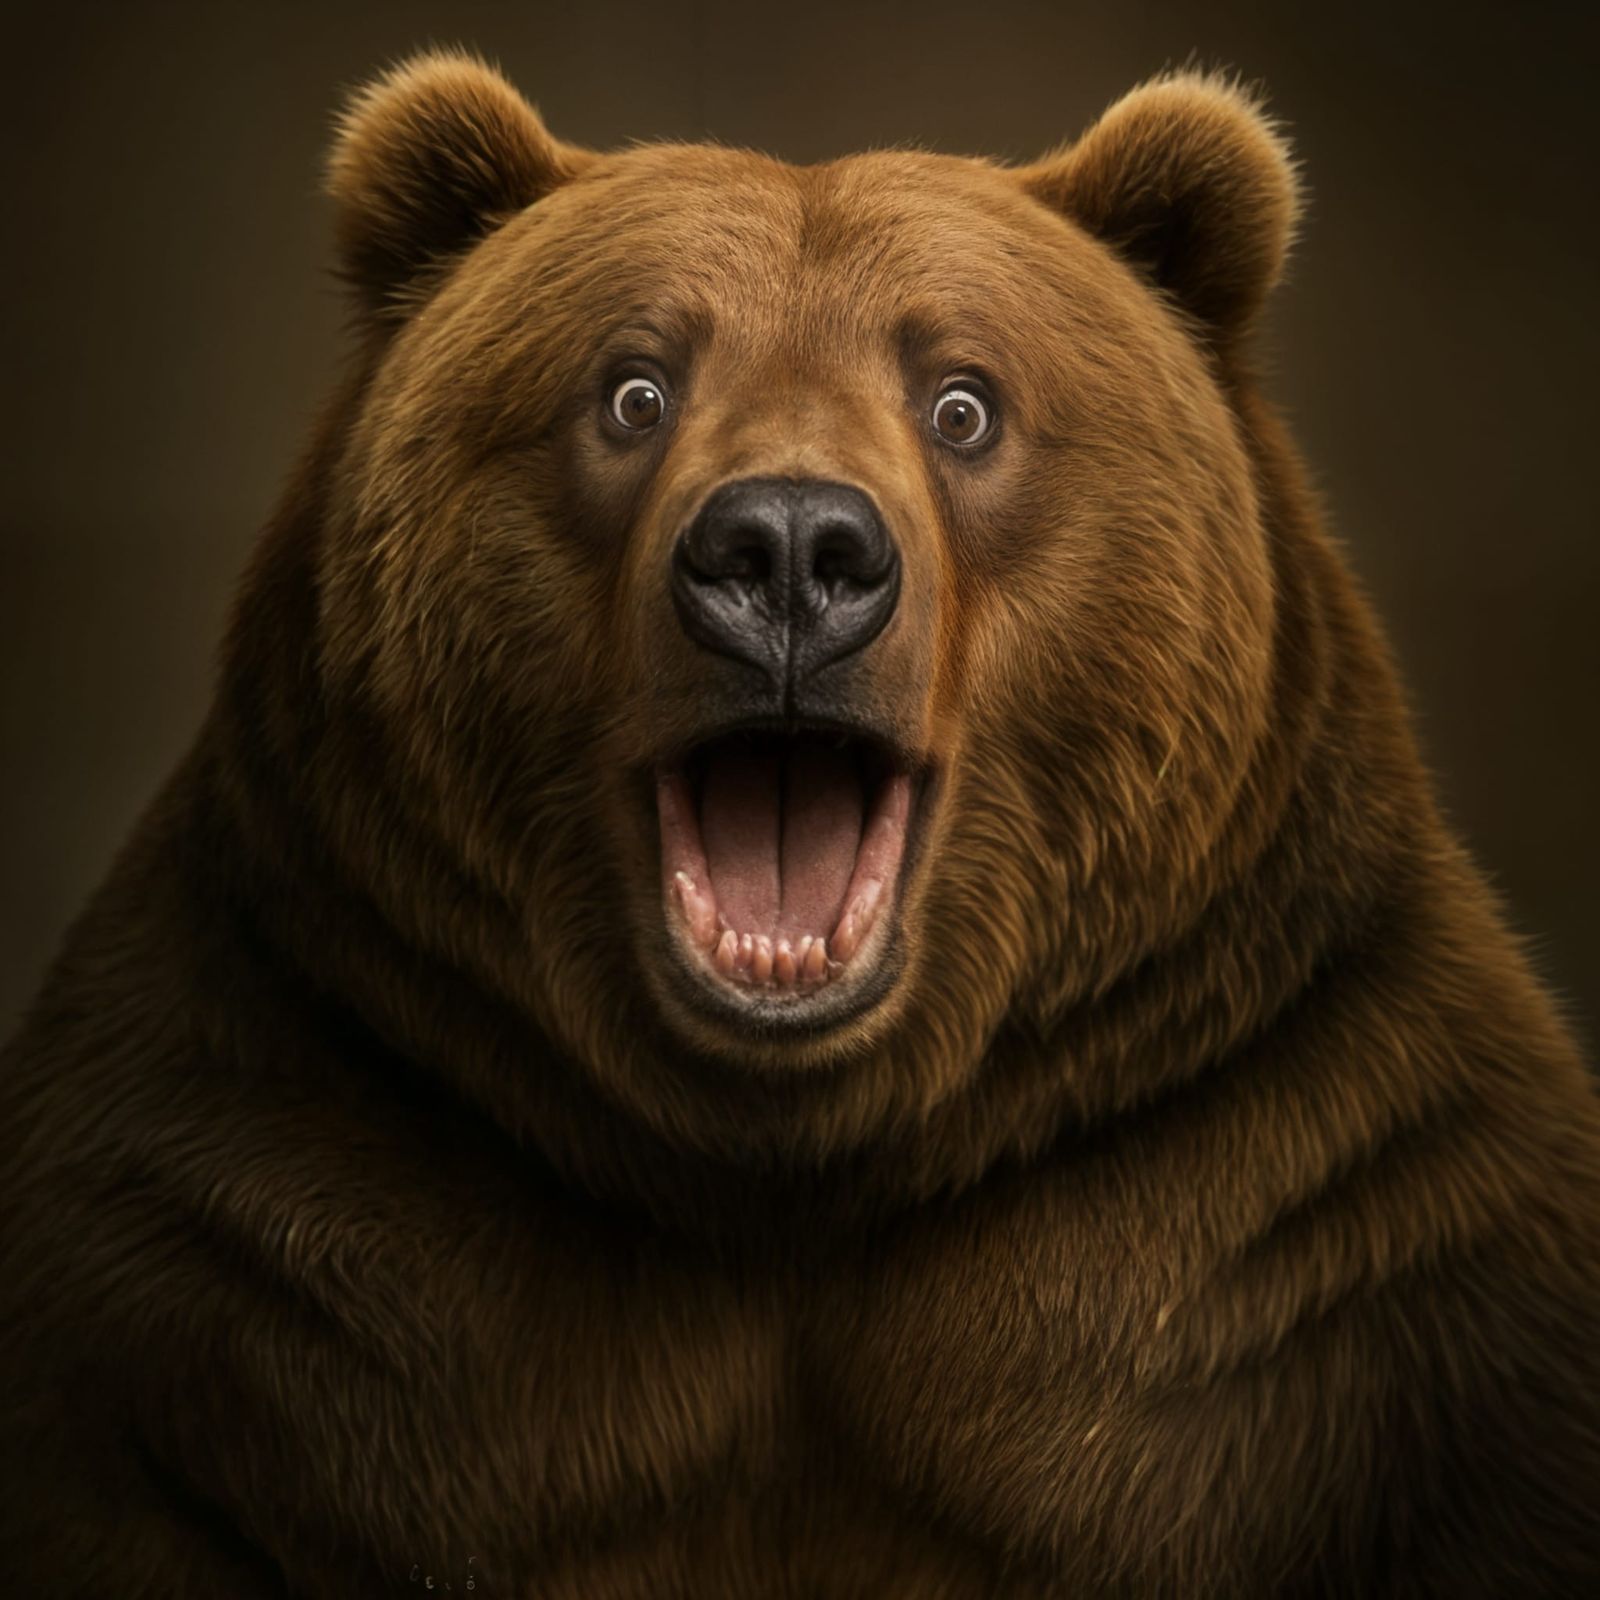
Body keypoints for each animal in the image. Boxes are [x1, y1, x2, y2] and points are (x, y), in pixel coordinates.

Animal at [2, 45, 1598, 1598]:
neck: (797, 1169)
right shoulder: (244, 1201)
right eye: (632, 389)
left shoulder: (1324, 1214)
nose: (784, 549)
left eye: (963, 401)